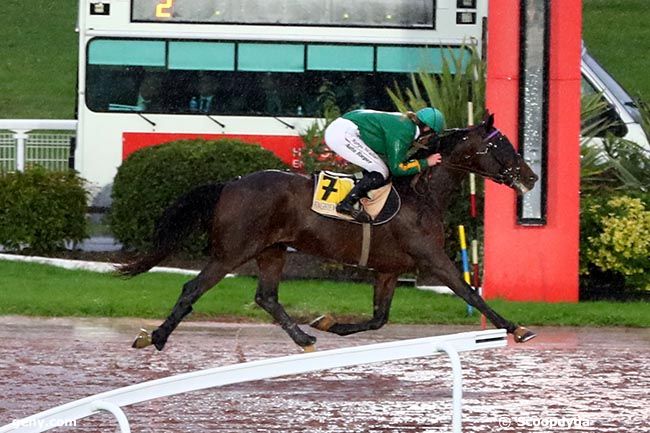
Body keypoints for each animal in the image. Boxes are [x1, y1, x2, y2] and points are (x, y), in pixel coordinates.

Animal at [117, 113, 536, 350]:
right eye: (500, 144)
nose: (530, 177)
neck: (422, 195)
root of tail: (229, 184)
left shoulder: (389, 269)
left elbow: (379, 317)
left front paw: (329, 323)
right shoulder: (432, 259)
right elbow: (471, 292)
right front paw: (515, 328)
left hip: (272, 250)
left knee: (266, 296)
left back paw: (304, 337)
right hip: (232, 252)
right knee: (193, 288)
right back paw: (156, 337)